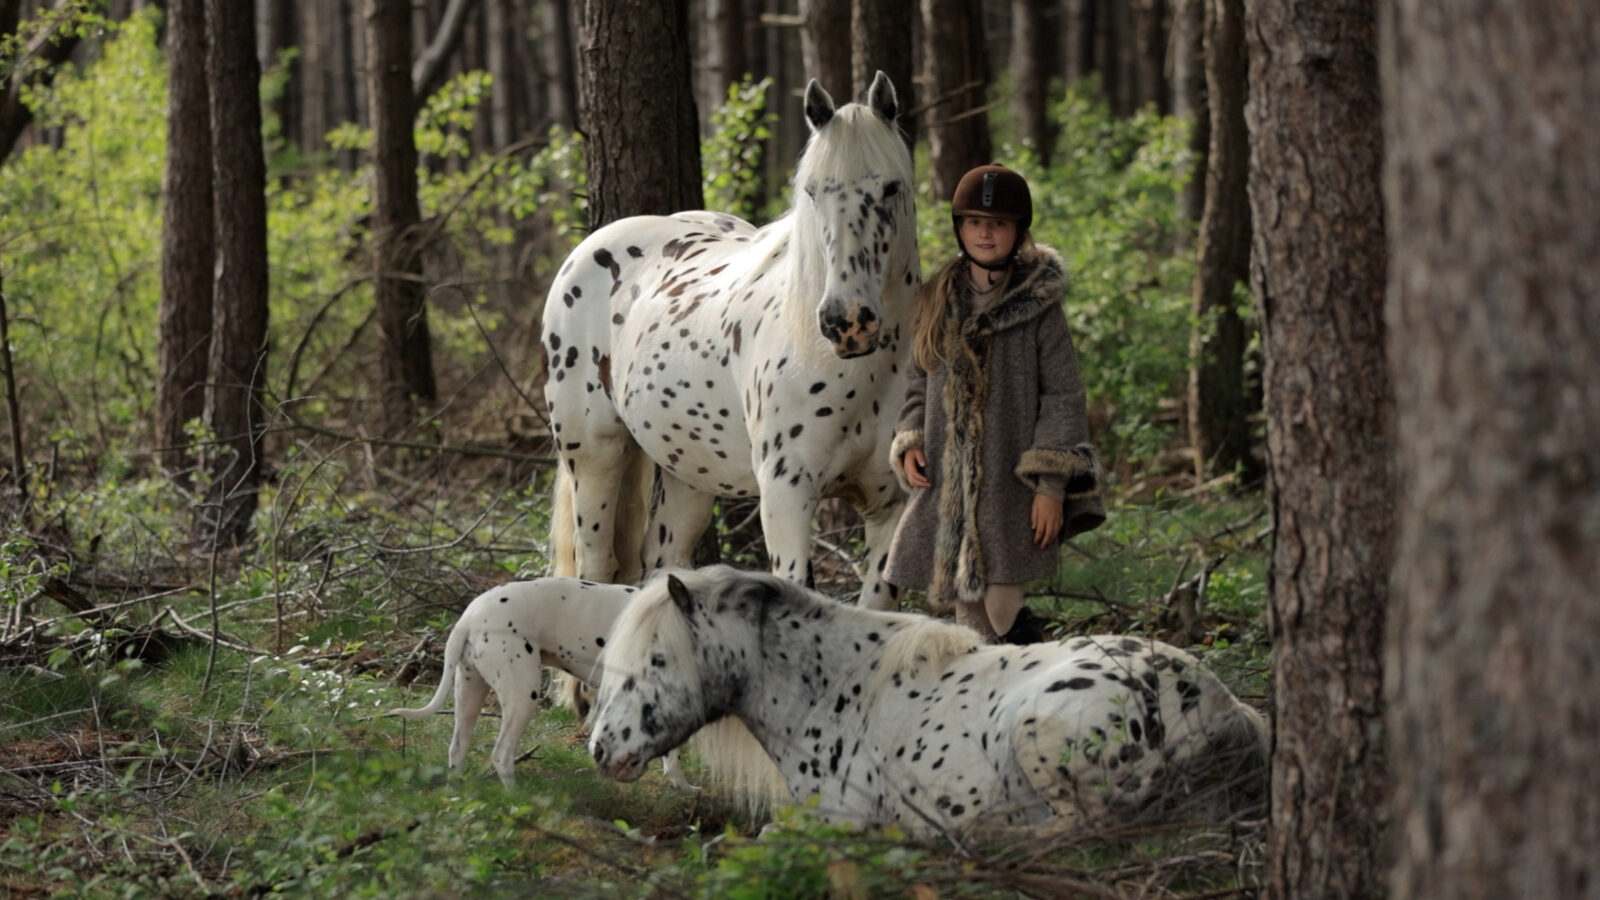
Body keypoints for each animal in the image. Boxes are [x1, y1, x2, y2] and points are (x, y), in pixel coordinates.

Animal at [541, 71, 919, 610]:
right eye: (811, 192)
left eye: (891, 187)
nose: (846, 321)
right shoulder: (786, 497)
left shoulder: (891, 507)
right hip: (594, 455)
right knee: (596, 567)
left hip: (686, 475)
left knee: (662, 564)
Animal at [586, 567, 1269, 839]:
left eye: (657, 661)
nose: (599, 748)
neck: (832, 690)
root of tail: (1220, 705)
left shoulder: (839, 820)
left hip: (1040, 733)